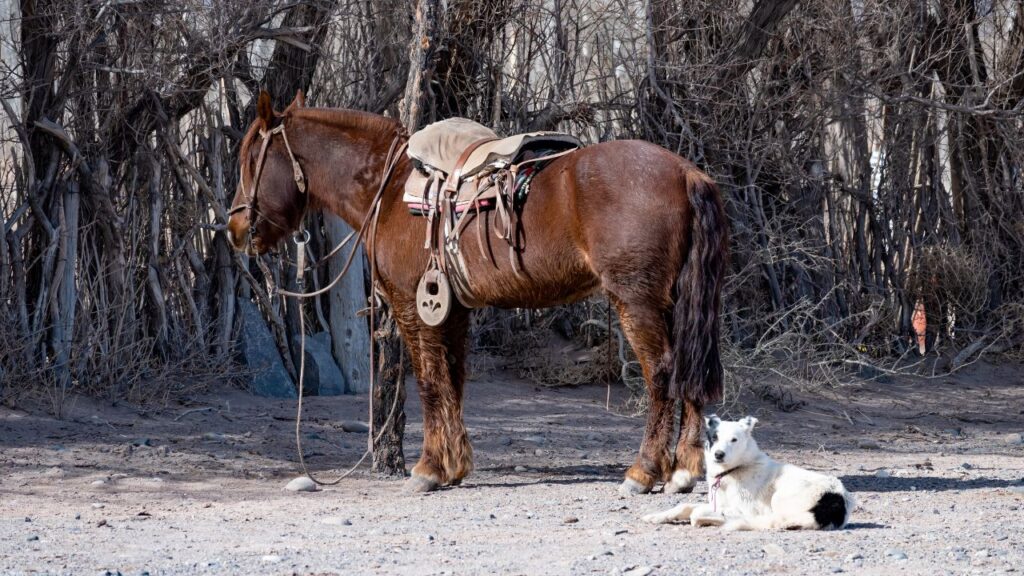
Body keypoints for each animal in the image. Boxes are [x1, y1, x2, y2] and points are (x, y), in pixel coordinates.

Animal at [228, 90, 729, 495]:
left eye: (251, 159)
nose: (233, 228)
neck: (390, 190)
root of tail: (686, 173)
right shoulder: (452, 311)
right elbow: (453, 379)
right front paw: (454, 466)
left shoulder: (414, 306)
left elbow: (429, 381)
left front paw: (428, 469)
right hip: (672, 302)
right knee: (686, 371)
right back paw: (685, 470)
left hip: (637, 301)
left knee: (662, 373)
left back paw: (643, 471)